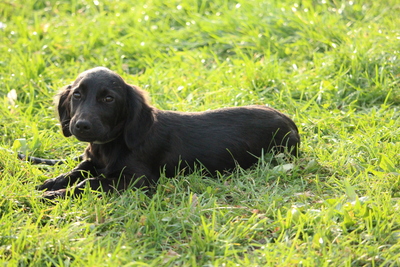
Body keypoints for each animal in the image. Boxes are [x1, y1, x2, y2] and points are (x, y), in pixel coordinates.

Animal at [37, 67, 300, 199]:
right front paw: (52, 182)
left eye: (108, 99)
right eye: (77, 95)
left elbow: (89, 182)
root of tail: (289, 121)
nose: (81, 125)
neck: (110, 145)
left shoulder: (138, 180)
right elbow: (77, 171)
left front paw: (53, 194)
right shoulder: (93, 161)